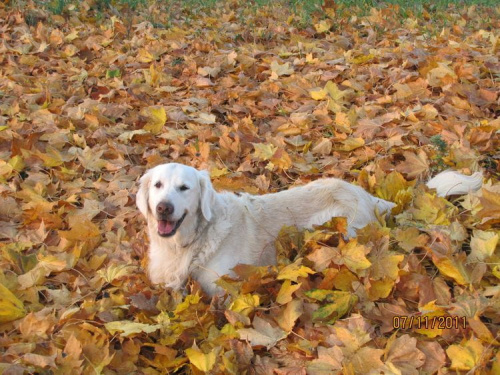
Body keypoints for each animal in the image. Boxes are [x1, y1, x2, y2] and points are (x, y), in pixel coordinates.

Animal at [136, 164, 480, 296]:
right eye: (158, 185)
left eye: (185, 188)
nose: (164, 207)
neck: (188, 243)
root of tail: (365, 195)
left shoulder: (225, 288)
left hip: (341, 229)